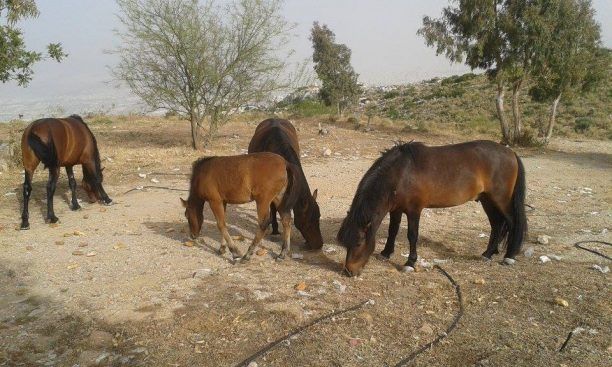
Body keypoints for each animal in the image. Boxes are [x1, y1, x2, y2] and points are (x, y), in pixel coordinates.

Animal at [334, 140, 524, 276]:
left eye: (359, 242)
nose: (349, 271)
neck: (401, 174)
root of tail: (511, 152)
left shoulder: (414, 210)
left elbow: (412, 235)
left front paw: (410, 263)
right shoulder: (396, 209)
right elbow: (392, 231)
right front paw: (386, 253)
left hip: (501, 200)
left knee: (512, 223)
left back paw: (509, 256)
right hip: (487, 200)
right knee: (496, 225)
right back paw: (488, 253)